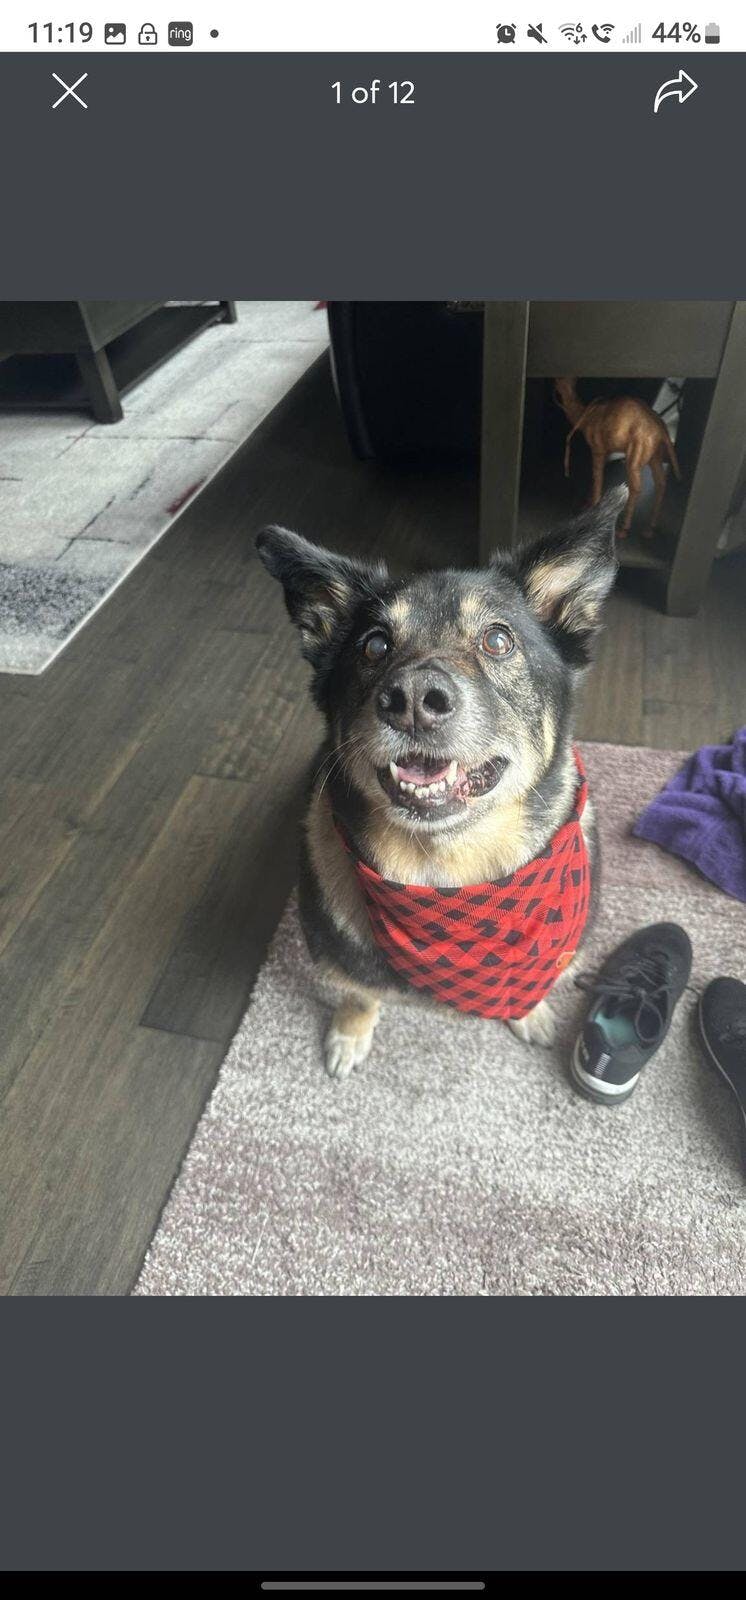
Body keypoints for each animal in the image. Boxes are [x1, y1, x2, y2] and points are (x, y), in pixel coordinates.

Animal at [256, 487, 623, 1080]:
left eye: (497, 639)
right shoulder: (337, 960)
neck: (451, 873)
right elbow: (359, 994)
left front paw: (531, 1011)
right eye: (374, 646)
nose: (410, 701)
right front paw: (350, 1034)